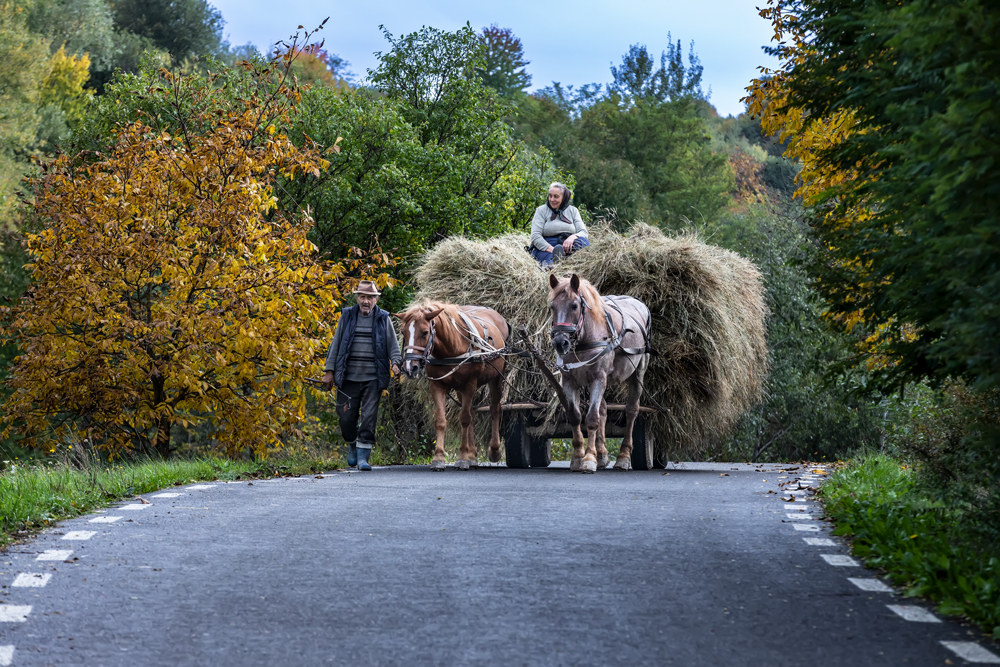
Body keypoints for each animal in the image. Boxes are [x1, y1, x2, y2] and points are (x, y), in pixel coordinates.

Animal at [395, 301, 510, 471]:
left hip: (496, 378)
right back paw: (472, 456)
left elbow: (464, 419)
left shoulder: (470, 384)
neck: (451, 348)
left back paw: (494, 450)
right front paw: (439, 458)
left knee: (495, 409)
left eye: (424, 332)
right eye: (404, 332)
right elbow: (441, 420)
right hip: (460, 389)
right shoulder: (437, 385)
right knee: (472, 413)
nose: (410, 367)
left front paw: (462, 458)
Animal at [548, 273, 652, 473]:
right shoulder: (569, 380)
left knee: (631, 411)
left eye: (574, 305)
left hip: (637, 373)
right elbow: (575, 416)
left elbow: (592, 419)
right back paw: (602, 455)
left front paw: (589, 458)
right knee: (603, 410)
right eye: (552, 307)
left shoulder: (598, 378)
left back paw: (623, 457)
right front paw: (578, 457)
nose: (560, 343)